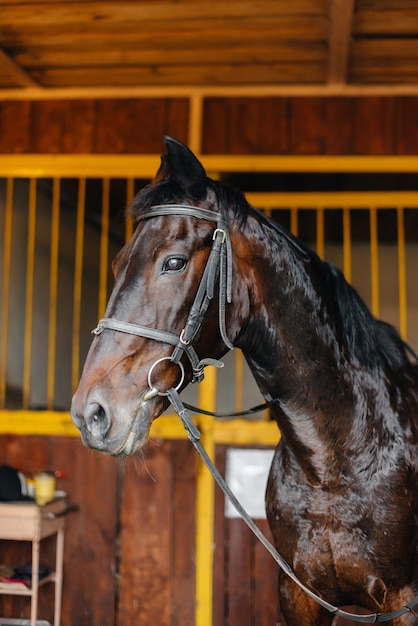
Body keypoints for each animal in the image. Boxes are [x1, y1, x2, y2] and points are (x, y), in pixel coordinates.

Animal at [71, 136, 418, 624]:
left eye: (174, 262)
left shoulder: (404, 599)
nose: (91, 414)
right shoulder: (299, 598)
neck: (335, 467)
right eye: (118, 263)